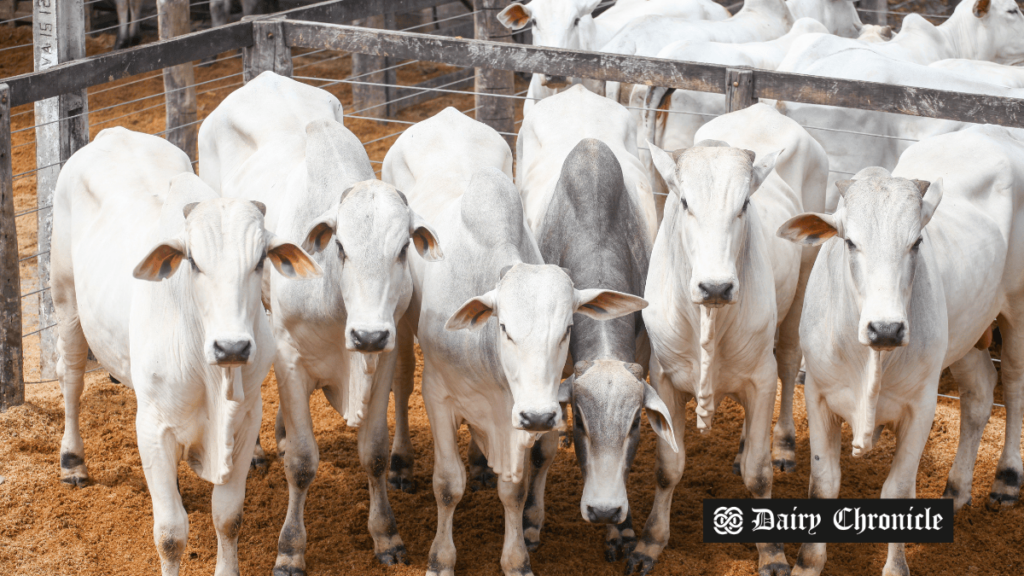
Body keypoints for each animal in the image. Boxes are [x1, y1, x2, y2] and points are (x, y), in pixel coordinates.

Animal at [50, 126, 315, 573]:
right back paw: (73, 462)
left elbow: (228, 517)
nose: (231, 346)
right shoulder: (153, 427)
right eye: (193, 262)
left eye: (260, 260)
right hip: (66, 301)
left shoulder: (245, 421)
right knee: (71, 378)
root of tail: (113, 131)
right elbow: (171, 535)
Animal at [197, 72, 442, 573]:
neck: (337, 302)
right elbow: (303, 462)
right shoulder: (290, 358)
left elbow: (374, 452)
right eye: (341, 247)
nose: (368, 333)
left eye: (402, 249)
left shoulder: (382, 357)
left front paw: (386, 535)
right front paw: (290, 549)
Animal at [774, 121, 1024, 573]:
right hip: (967, 334)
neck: (870, 362)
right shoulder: (818, 396)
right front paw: (807, 562)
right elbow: (824, 482)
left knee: (1012, 385)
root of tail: (994, 133)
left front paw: (895, 567)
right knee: (980, 394)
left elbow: (898, 490)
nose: (886, 329)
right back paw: (957, 489)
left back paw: (1007, 479)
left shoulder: (920, 407)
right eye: (850, 242)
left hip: (1016, 310)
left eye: (916, 242)